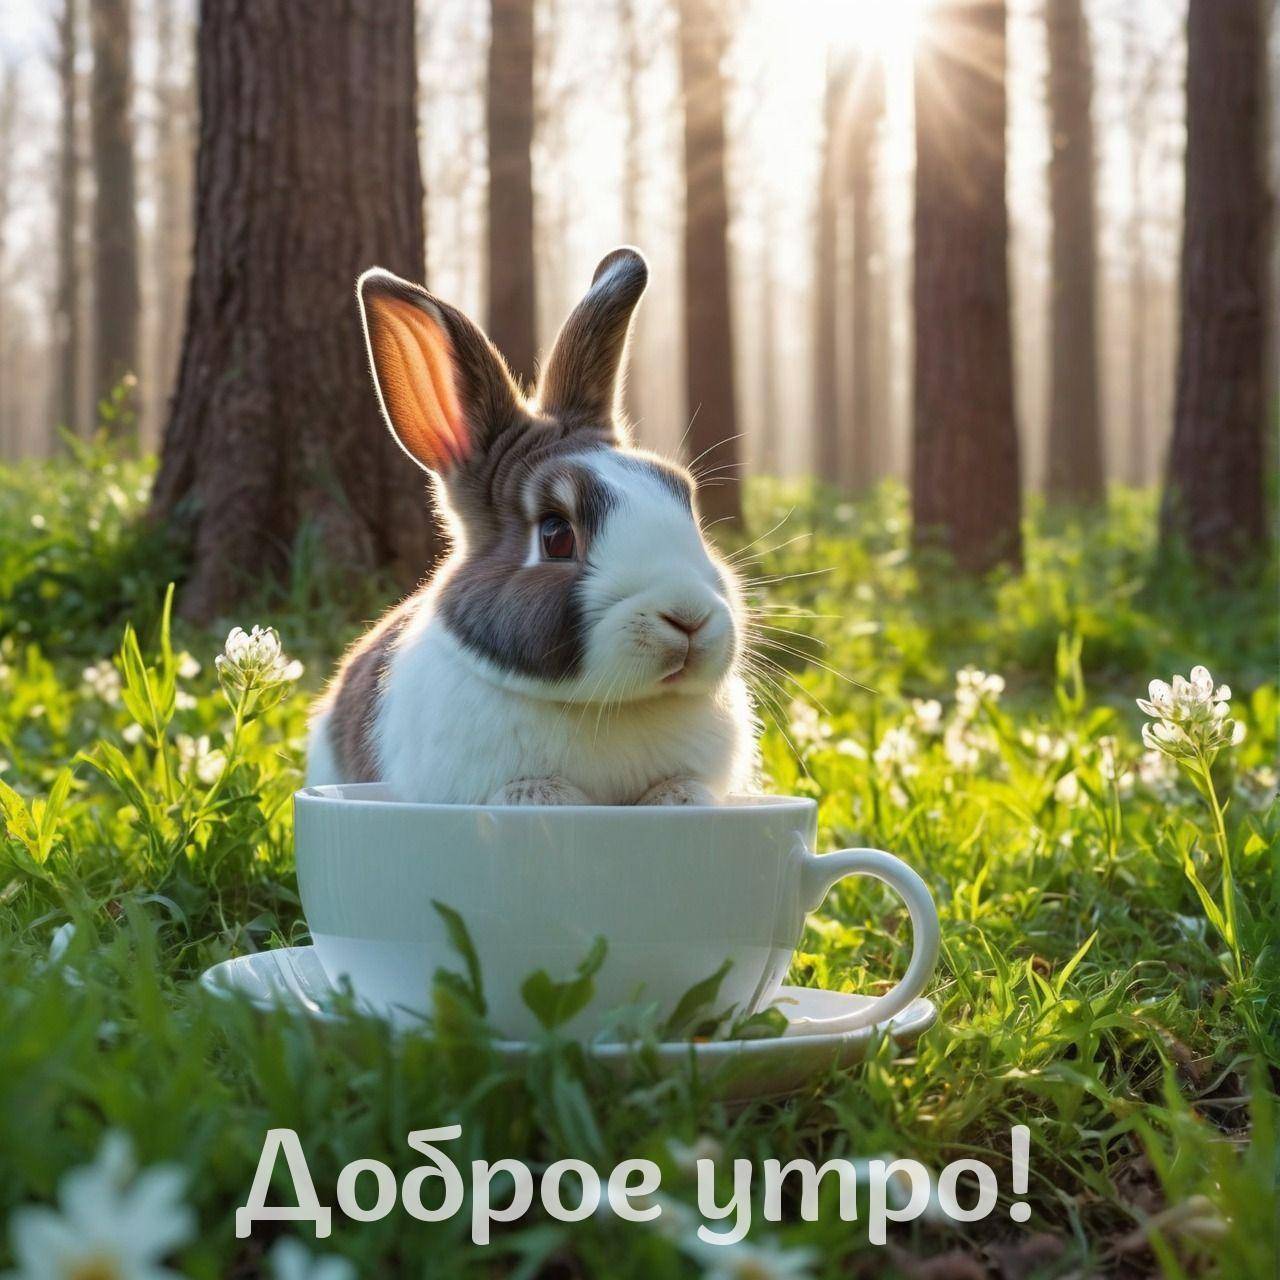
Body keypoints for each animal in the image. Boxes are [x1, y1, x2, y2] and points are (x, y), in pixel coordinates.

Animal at [306, 246, 758, 806]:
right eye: (556, 535)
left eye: (684, 500)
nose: (688, 617)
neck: (607, 706)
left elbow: (681, 788)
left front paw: (678, 801)